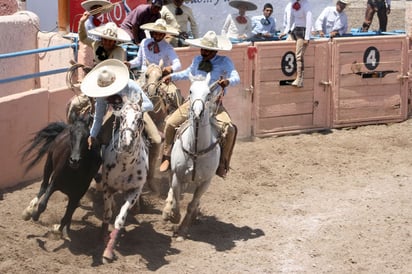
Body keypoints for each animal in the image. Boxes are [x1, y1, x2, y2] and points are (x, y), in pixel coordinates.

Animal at [100, 94, 148, 264]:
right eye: (121, 117)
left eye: (140, 119)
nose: (127, 143)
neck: (125, 165)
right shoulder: (107, 187)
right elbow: (107, 214)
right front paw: (102, 237)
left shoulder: (135, 190)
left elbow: (120, 219)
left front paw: (108, 251)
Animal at [161, 72, 222, 240]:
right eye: (190, 91)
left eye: (208, 94)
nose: (197, 112)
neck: (195, 149)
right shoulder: (178, 176)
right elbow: (176, 200)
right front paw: (173, 216)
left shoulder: (205, 182)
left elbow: (191, 204)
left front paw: (182, 230)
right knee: (171, 190)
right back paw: (166, 212)